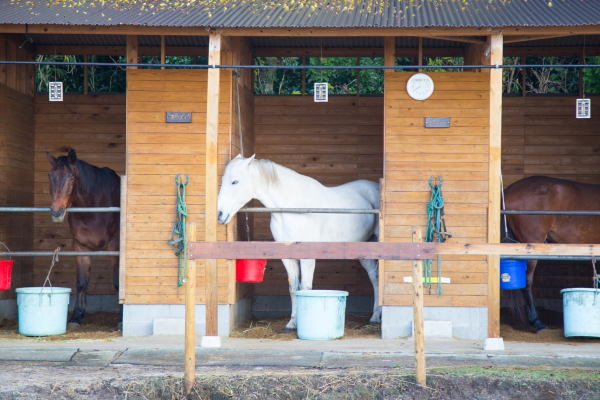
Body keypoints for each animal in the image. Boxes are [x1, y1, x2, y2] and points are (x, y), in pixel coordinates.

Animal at [46, 150, 120, 328]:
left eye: (71, 176)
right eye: (50, 175)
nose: (56, 212)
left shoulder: (116, 247)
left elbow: (119, 282)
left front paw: (122, 321)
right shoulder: (80, 246)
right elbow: (81, 282)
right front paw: (76, 317)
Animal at [218, 153, 382, 332]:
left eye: (235, 181)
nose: (220, 214)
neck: (291, 209)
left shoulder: (307, 256)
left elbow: (305, 288)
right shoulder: (288, 257)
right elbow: (293, 289)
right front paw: (292, 323)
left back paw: (376, 318)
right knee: (375, 279)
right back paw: (375, 317)